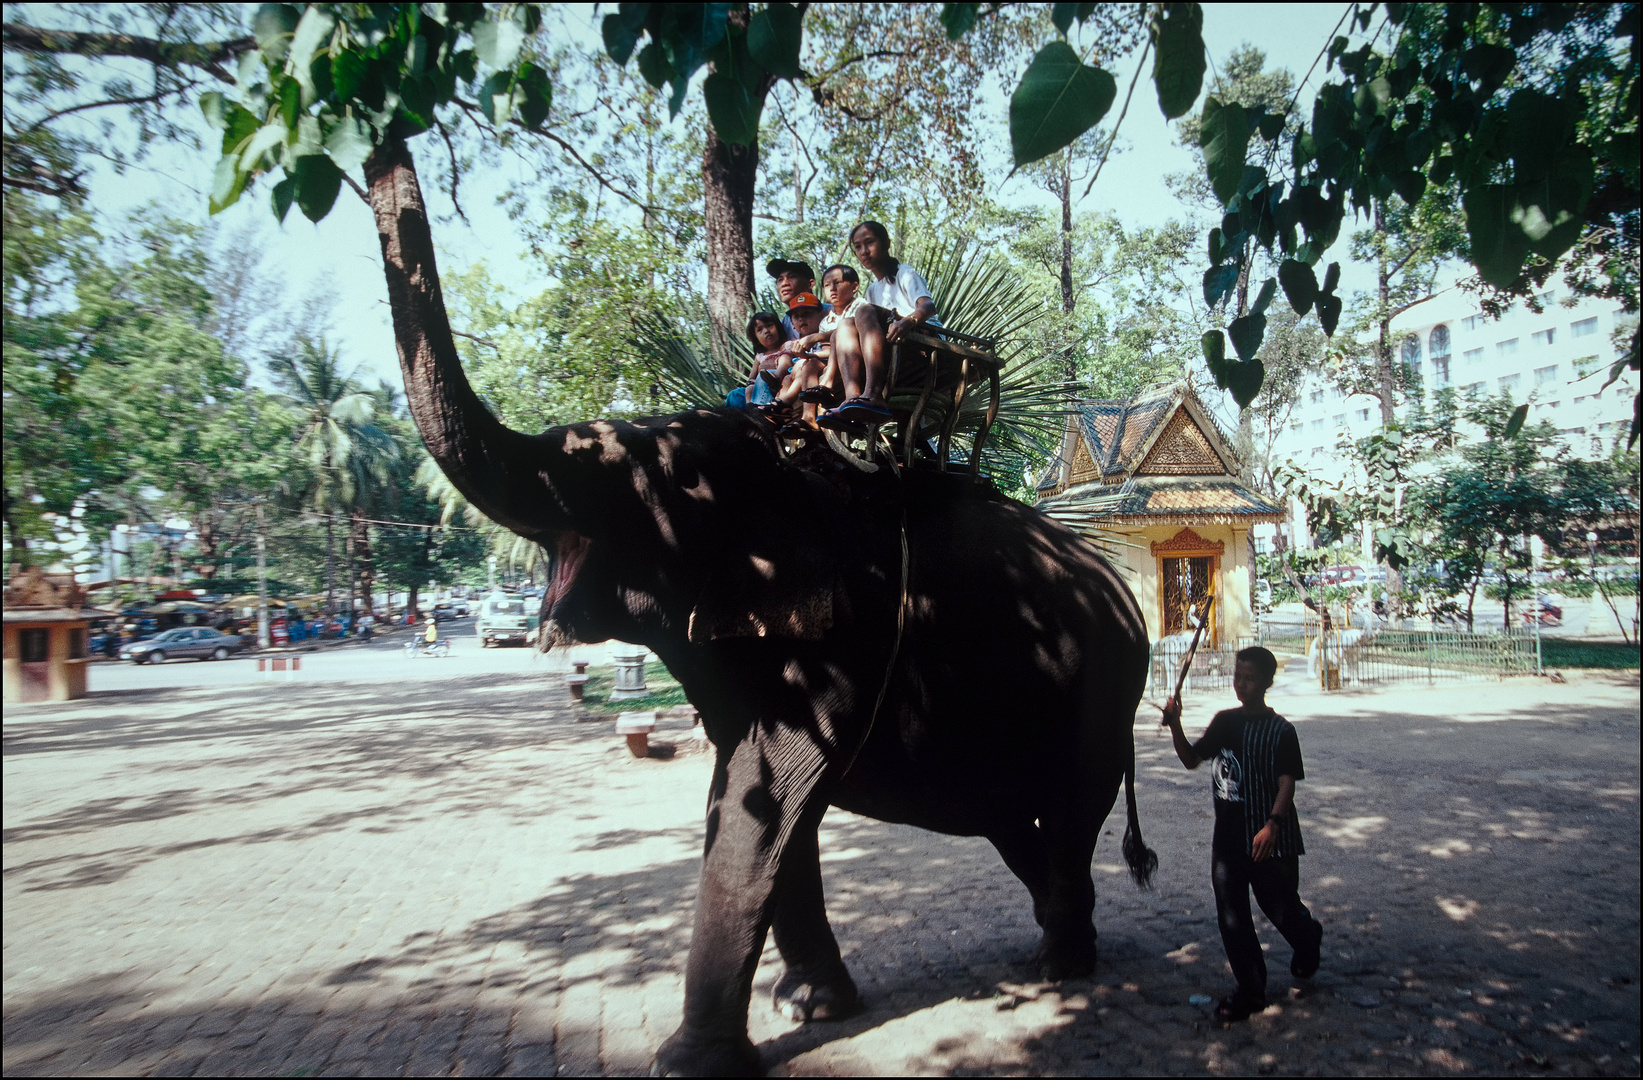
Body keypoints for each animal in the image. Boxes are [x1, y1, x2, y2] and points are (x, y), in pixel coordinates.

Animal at [363, 138, 1156, 1071]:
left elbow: (764, 797)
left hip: (1103, 688)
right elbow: (758, 803)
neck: (784, 459)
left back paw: (1060, 966)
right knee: (1009, 816)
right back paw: (1048, 946)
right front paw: (814, 1008)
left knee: (1068, 809)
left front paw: (689, 1059)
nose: (384, 145)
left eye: (661, 484)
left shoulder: (840, 634)